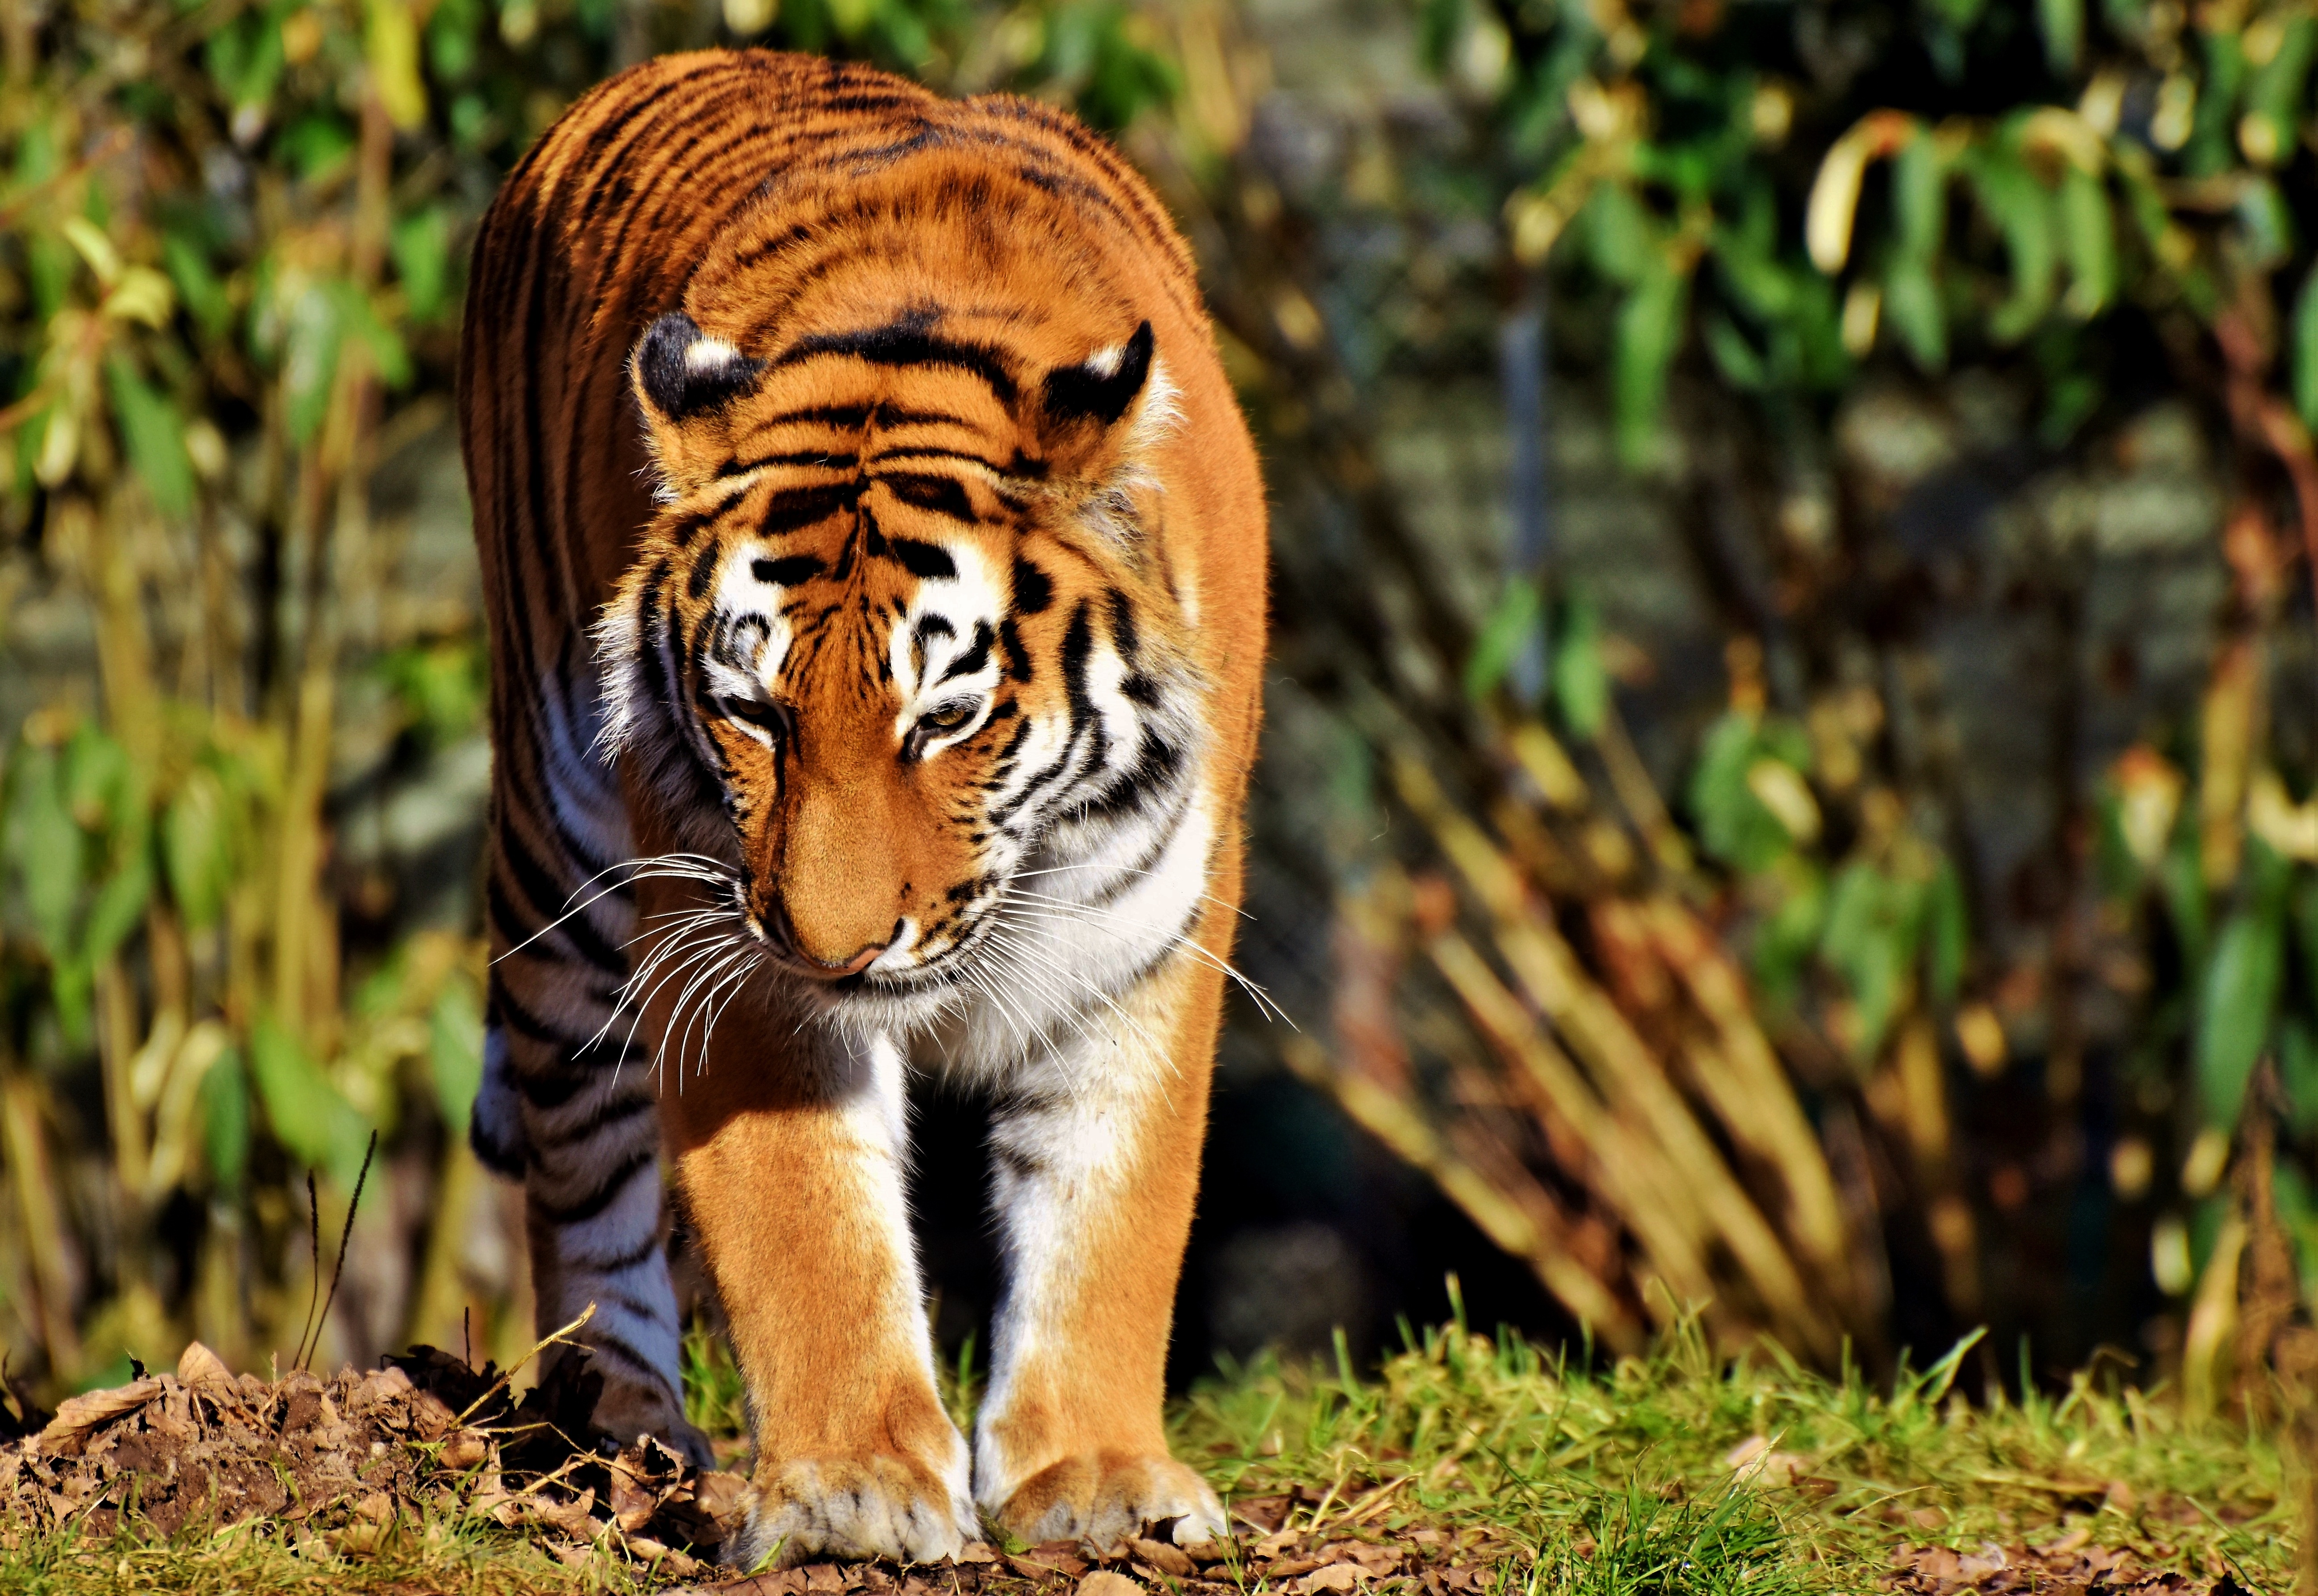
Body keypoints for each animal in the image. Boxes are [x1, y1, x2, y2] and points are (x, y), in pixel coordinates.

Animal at [457, 46, 1270, 1556]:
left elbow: (1112, 1204)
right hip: (559, 855)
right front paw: (855, 1491)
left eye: (945, 715)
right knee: (580, 1156)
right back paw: (617, 1423)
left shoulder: (1146, 931)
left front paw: (1096, 1478)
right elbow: (808, 1225)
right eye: (753, 711)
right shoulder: (725, 930)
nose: (835, 946)